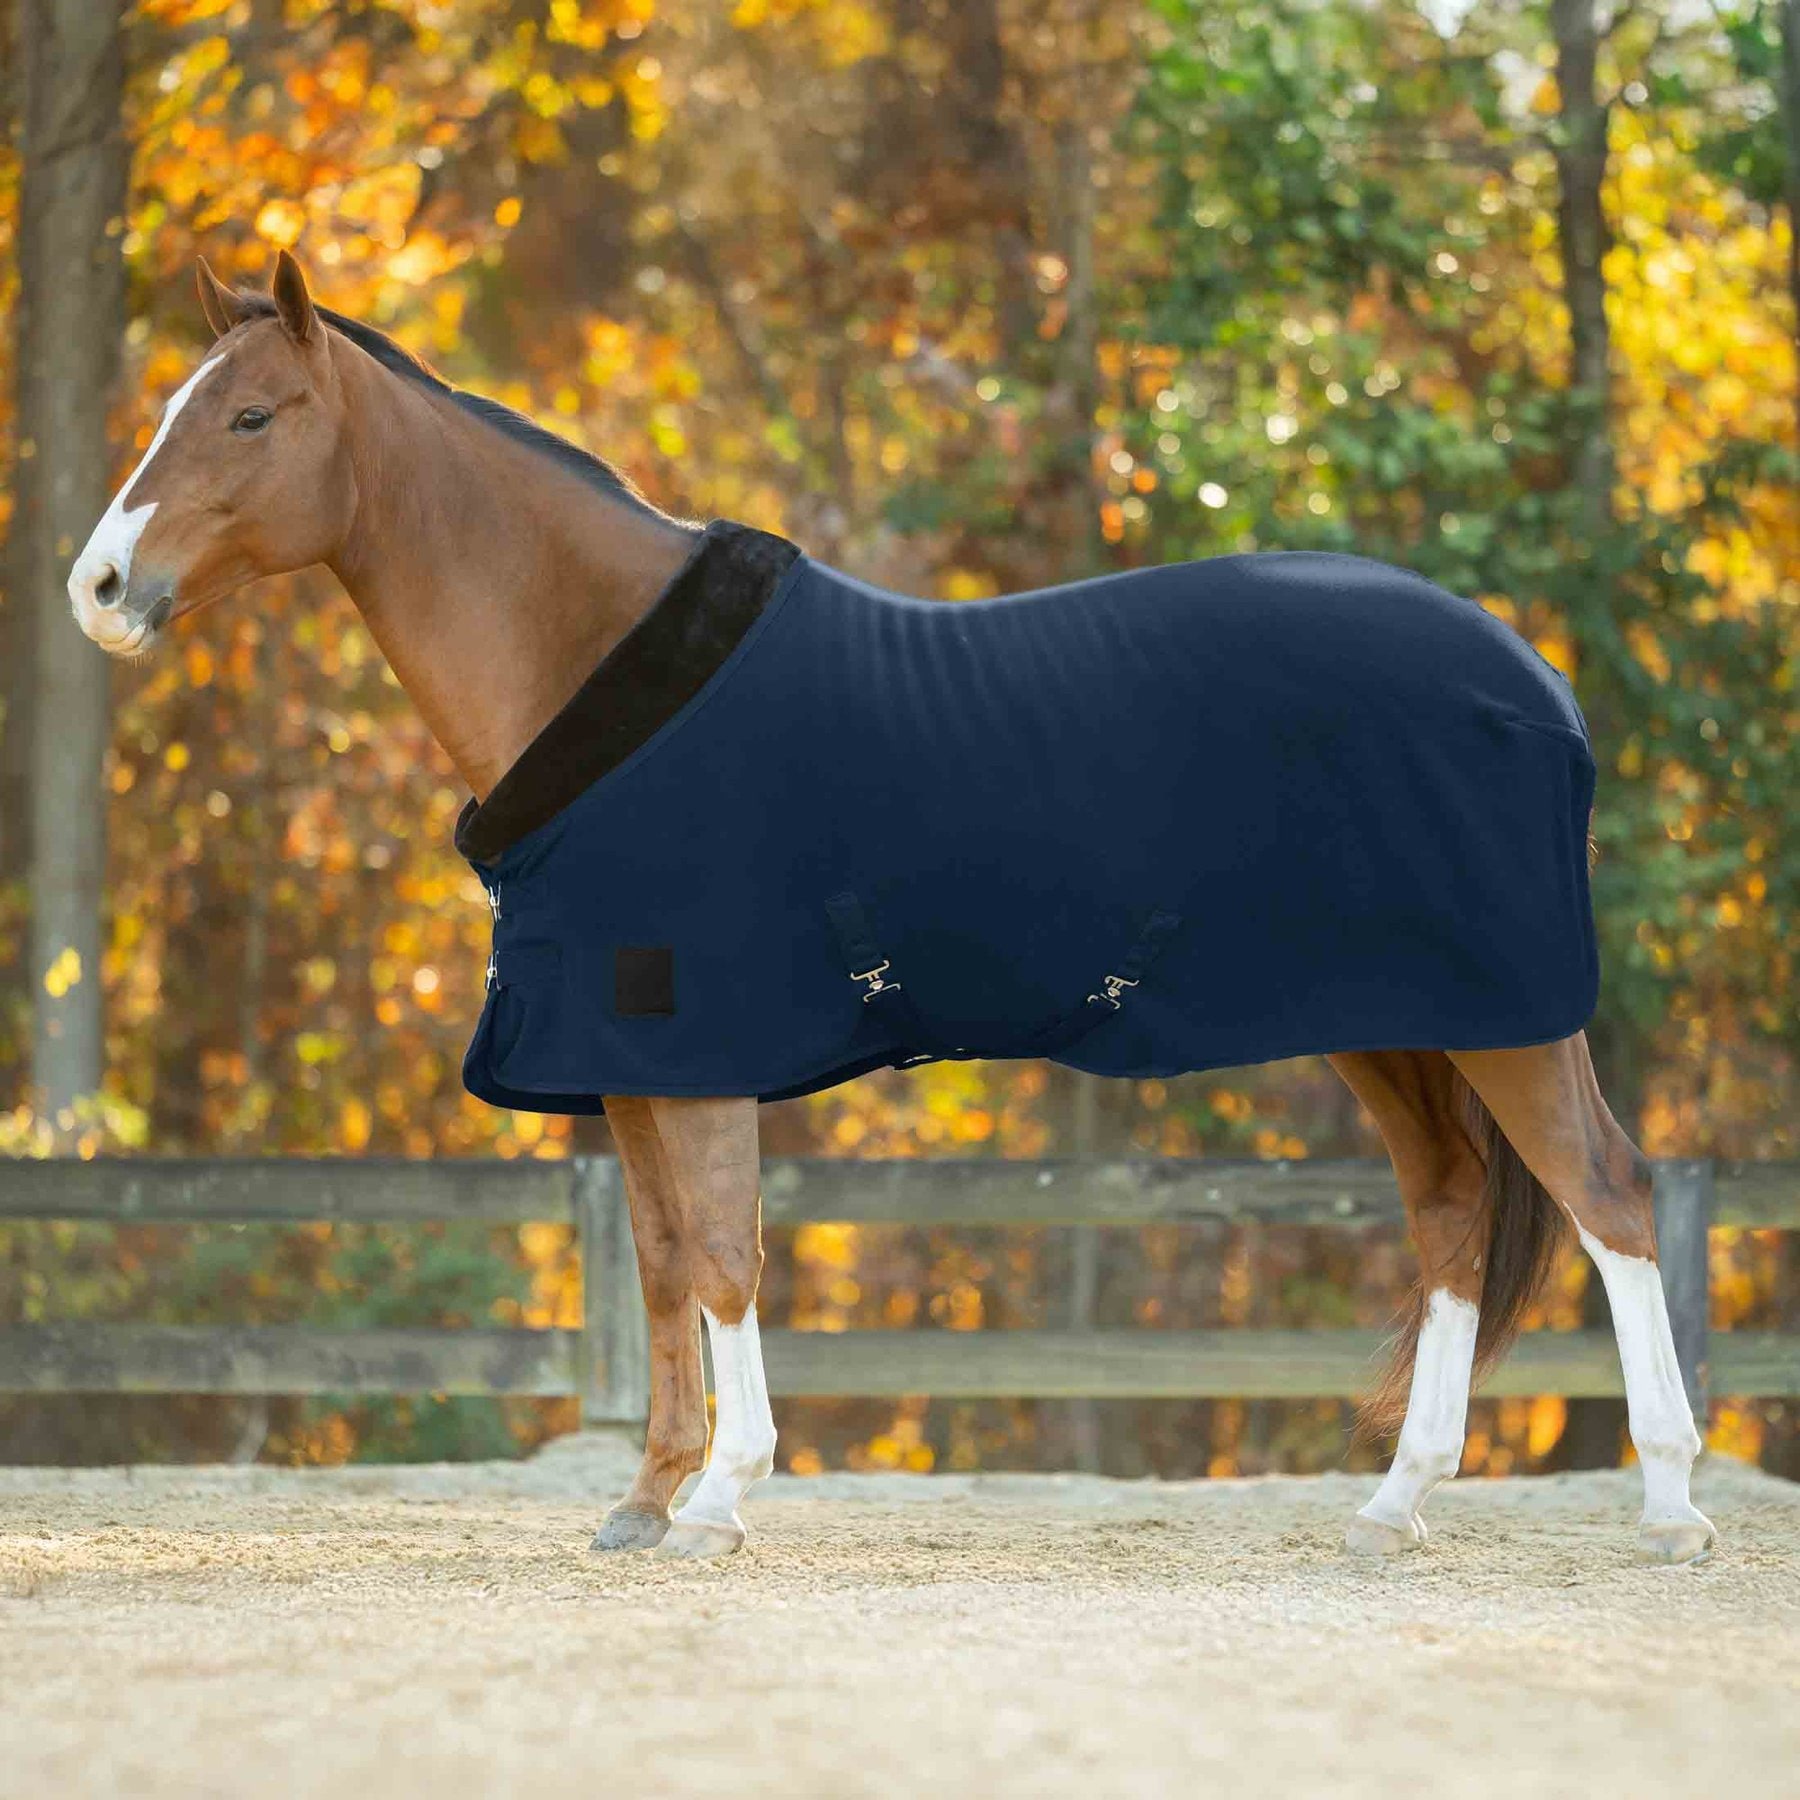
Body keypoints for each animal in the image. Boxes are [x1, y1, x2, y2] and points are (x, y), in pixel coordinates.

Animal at [65, 252, 1714, 1565]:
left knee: (1612, 1200)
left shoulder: (698, 1049)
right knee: (1454, 1214)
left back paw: (1672, 1507)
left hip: (1505, 1022)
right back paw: (1395, 1503)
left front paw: (722, 1499)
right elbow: (662, 1264)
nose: (100, 587)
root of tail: (1535, 679)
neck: (597, 664)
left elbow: (725, 1257)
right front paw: (647, 1500)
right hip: (1397, 1028)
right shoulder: (627, 1057)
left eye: (252, 416)